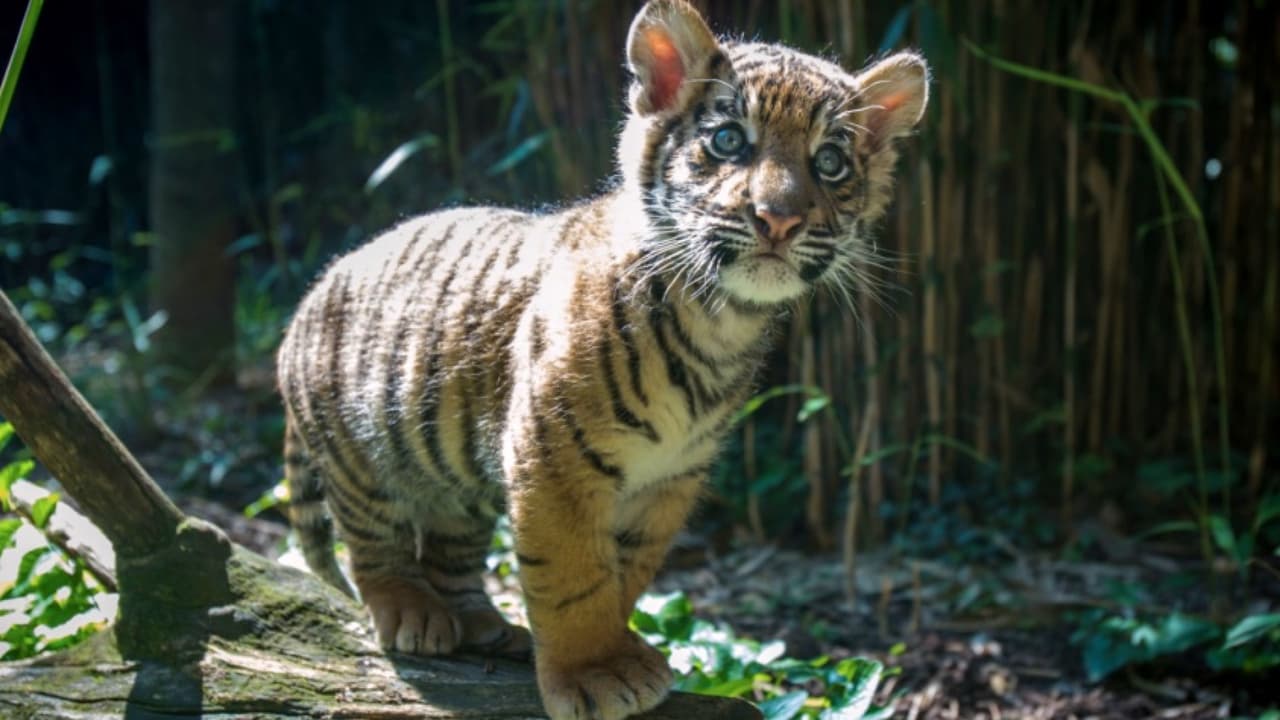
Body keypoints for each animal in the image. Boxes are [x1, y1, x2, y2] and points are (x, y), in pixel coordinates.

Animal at [276, 1, 927, 718]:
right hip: (361, 455)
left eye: (830, 161)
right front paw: (592, 673)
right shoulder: (552, 457)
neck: (718, 321)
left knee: (451, 550)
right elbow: (572, 574)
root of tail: (316, 288)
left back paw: (483, 625)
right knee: (373, 543)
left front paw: (621, 651)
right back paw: (409, 611)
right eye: (730, 141)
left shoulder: (670, 478)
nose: (778, 220)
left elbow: (626, 574)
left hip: (457, 481)